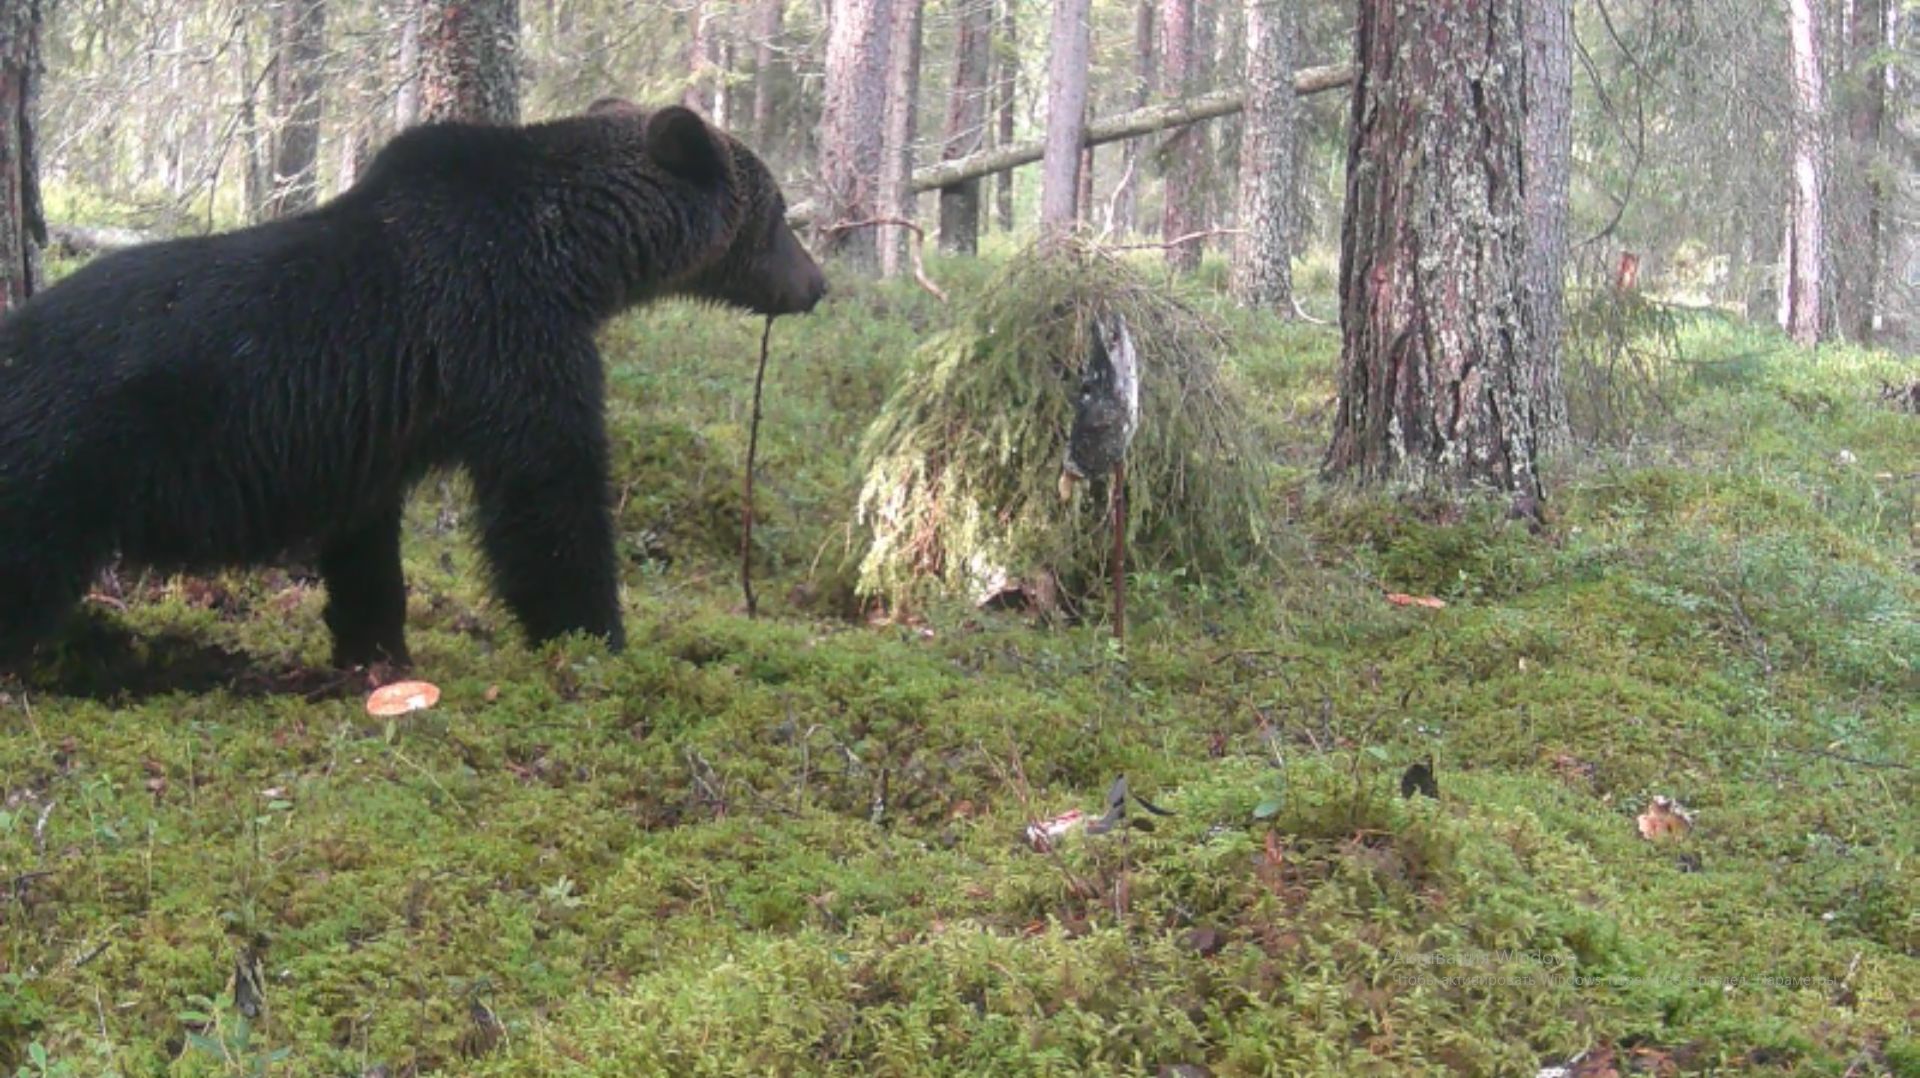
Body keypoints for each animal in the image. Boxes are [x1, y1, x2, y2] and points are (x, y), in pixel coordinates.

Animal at [0, 100, 825, 672]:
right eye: (782, 212)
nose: (817, 284)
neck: (575, 258)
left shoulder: (369, 430)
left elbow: (367, 541)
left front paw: (374, 649)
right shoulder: (505, 332)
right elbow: (549, 495)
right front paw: (595, 635)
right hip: (64, 459)